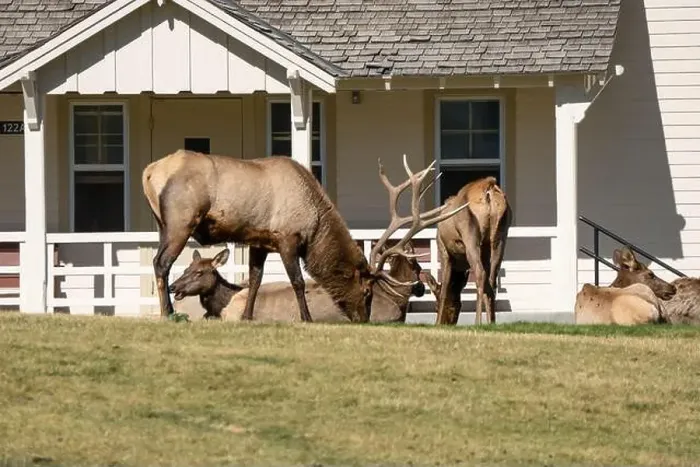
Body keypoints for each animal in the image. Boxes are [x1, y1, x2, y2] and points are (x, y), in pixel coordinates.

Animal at [422, 177, 512, 326]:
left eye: (435, 307)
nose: (449, 323)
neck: (460, 266)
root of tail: (489, 186)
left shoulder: (444, 250)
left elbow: (445, 287)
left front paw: (437, 323)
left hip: (470, 234)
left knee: (480, 274)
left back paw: (478, 322)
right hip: (500, 235)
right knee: (492, 279)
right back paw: (491, 322)